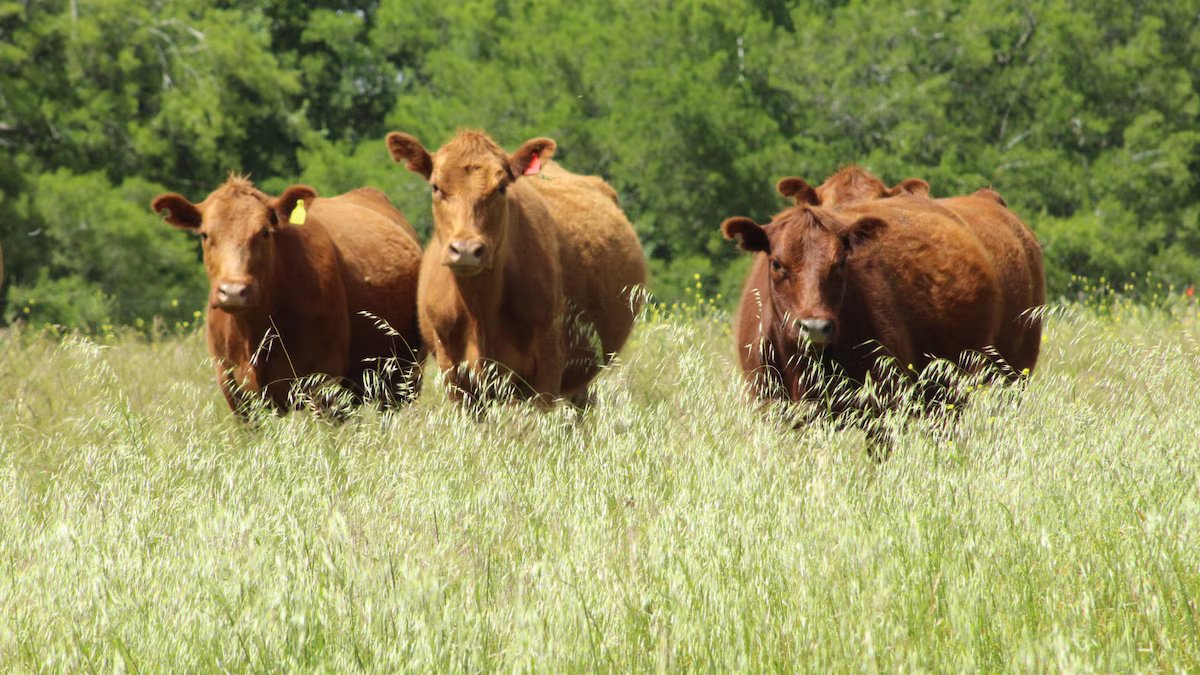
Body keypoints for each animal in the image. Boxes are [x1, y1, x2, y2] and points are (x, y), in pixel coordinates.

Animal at [150, 176, 424, 416]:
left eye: (264, 232)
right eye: (205, 234)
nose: (234, 291)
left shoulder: (324, 385)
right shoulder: (236, 394)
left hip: (402, 380)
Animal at [385, 129, 646, 410]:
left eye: (501, 187)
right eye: (436, 187)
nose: (466, 249)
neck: (481, 311)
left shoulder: (546, 369)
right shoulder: (454, 374)